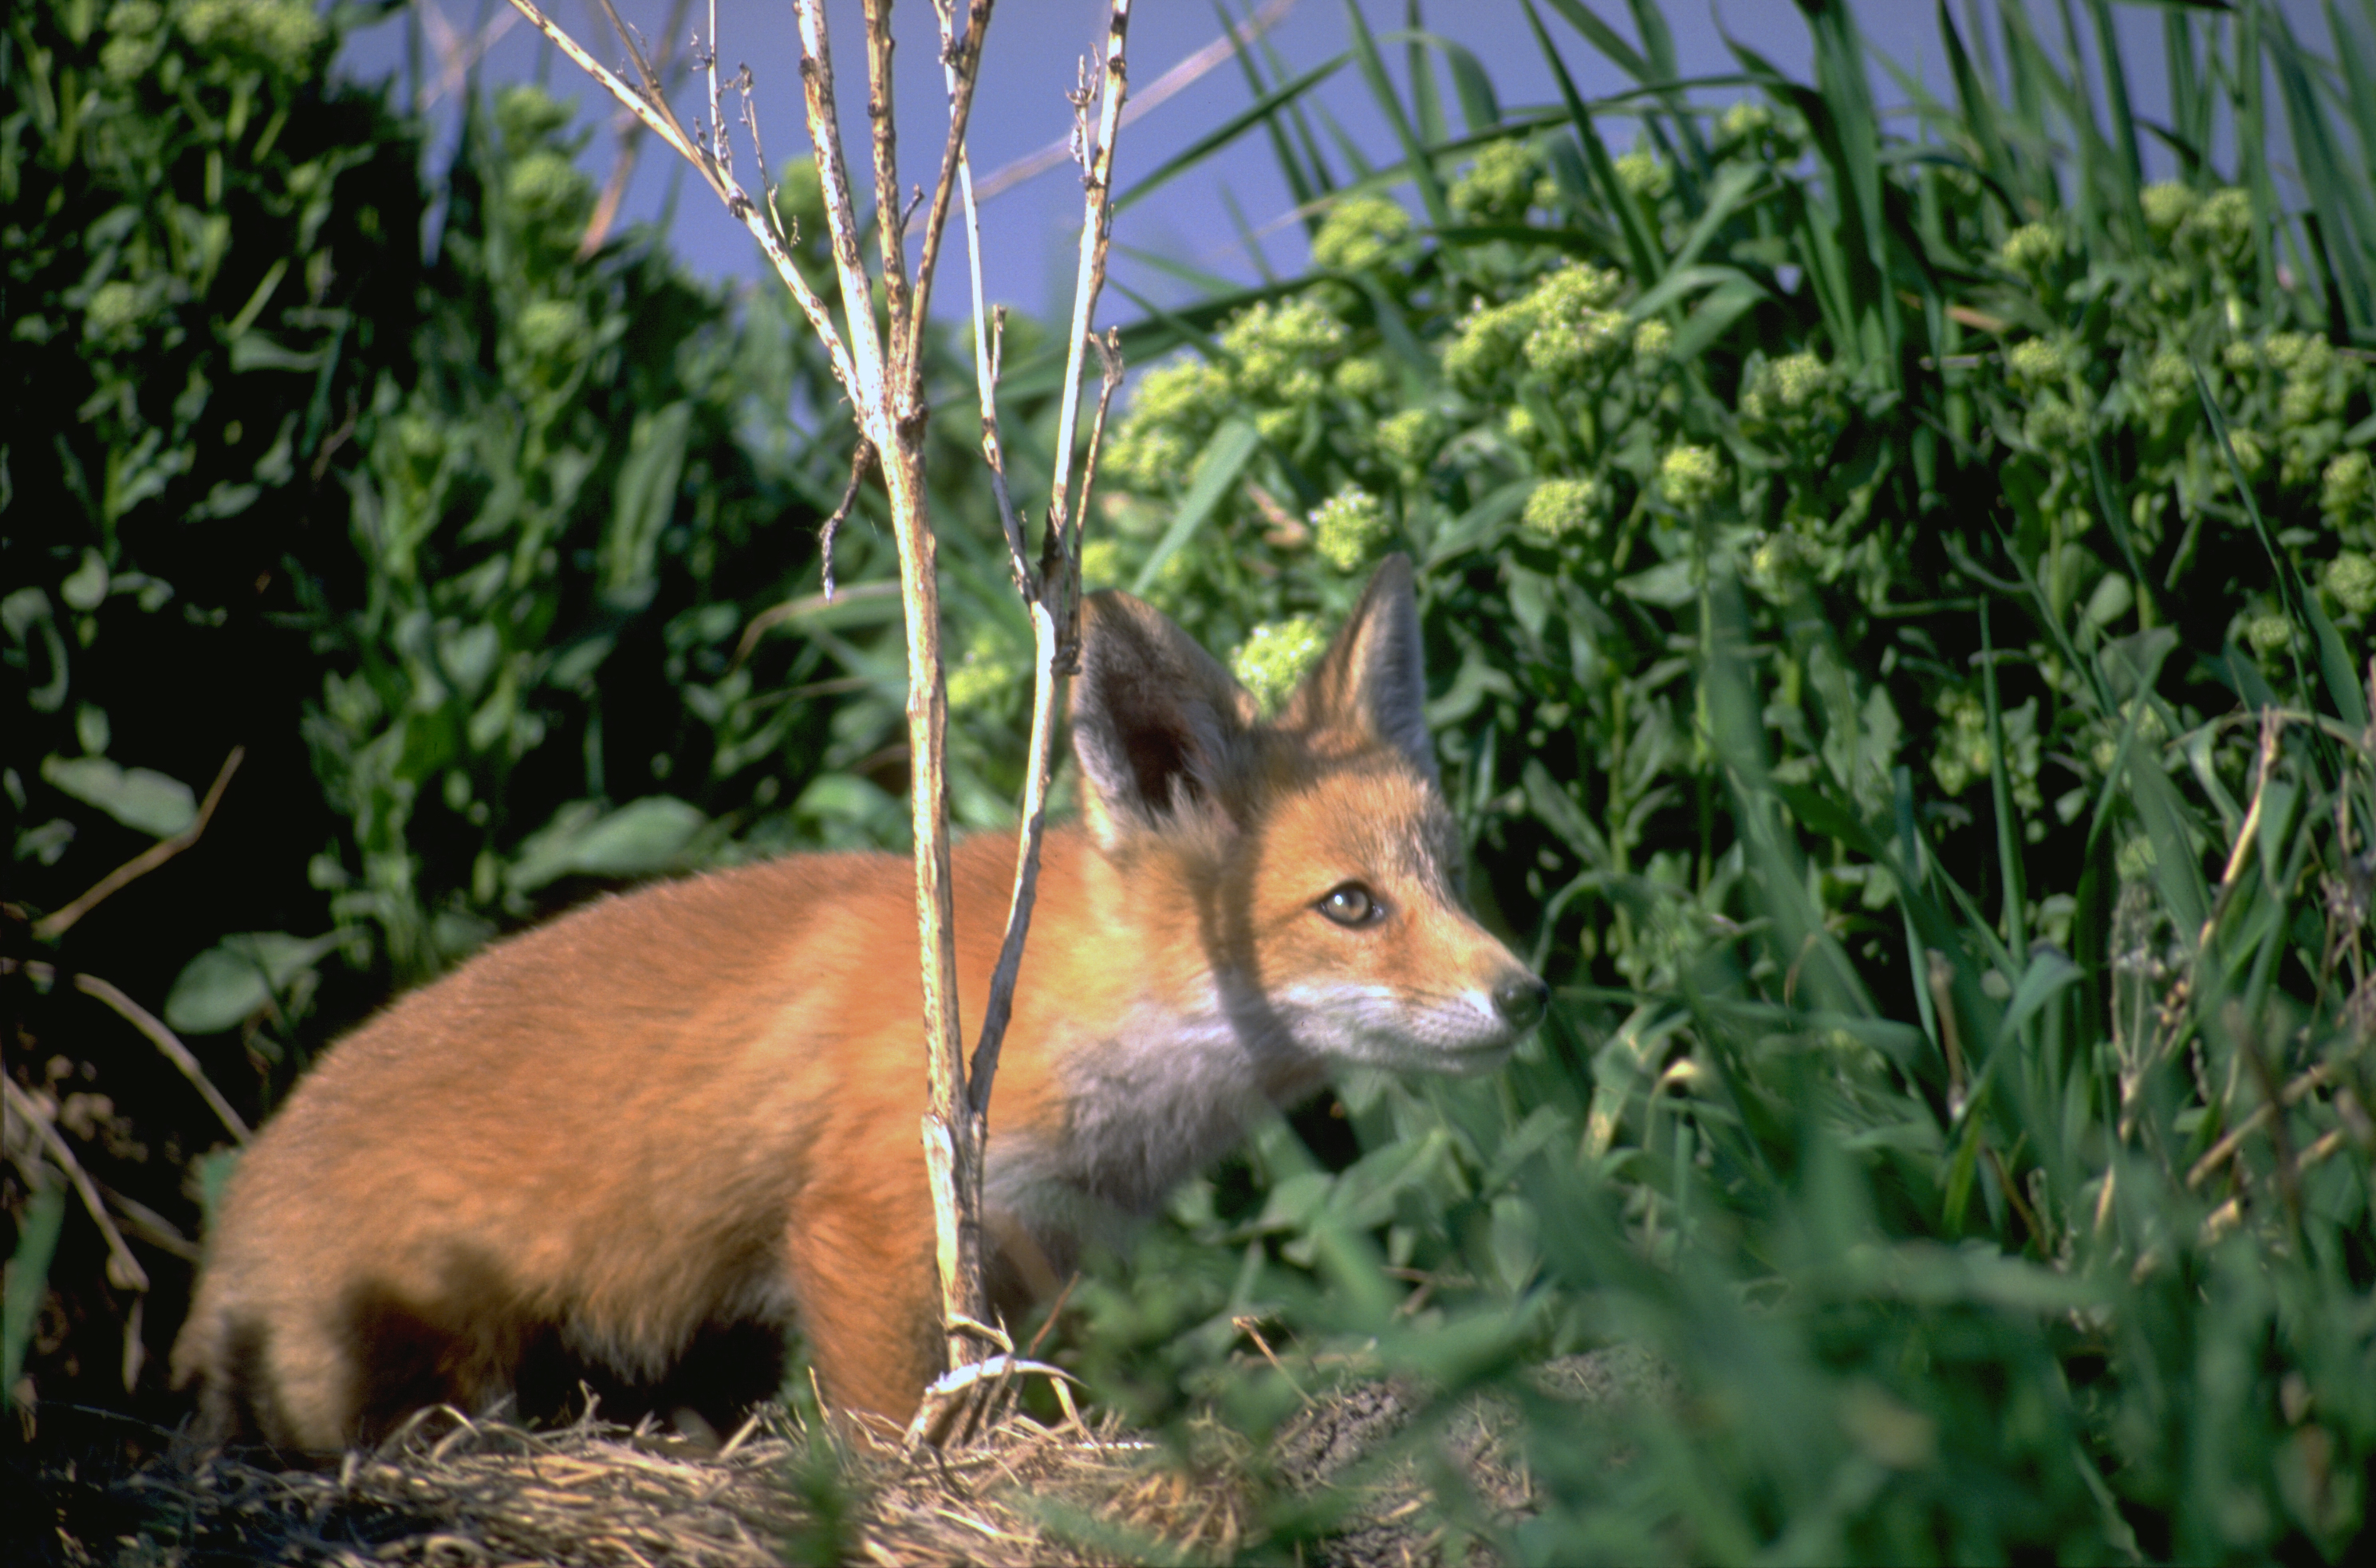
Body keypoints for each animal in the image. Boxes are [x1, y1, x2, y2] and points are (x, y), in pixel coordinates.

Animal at [171, 553, 1549, 1450]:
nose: (1526, 994)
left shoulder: (1034, 1255)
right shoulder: (871, 1218)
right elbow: (896, 1427)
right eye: (1351, 905)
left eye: (1450, 875)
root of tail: (222, 1225)